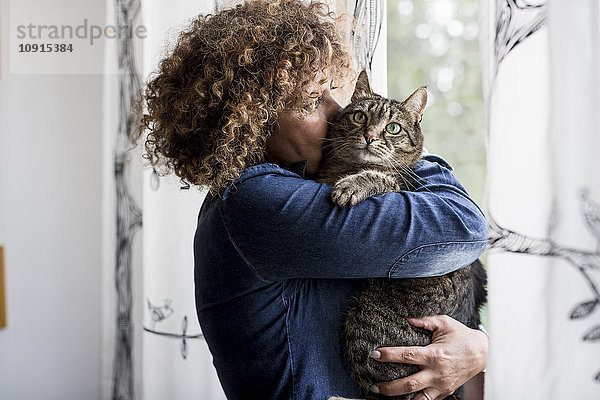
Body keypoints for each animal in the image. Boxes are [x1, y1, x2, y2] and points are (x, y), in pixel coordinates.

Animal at [316, 72, 486, 400]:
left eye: (393, 128)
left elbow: (382, 177)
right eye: (360, 117)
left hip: (365, 319)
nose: (370, 137)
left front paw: (351, 185)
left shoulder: (401, 187)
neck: (345, 166)